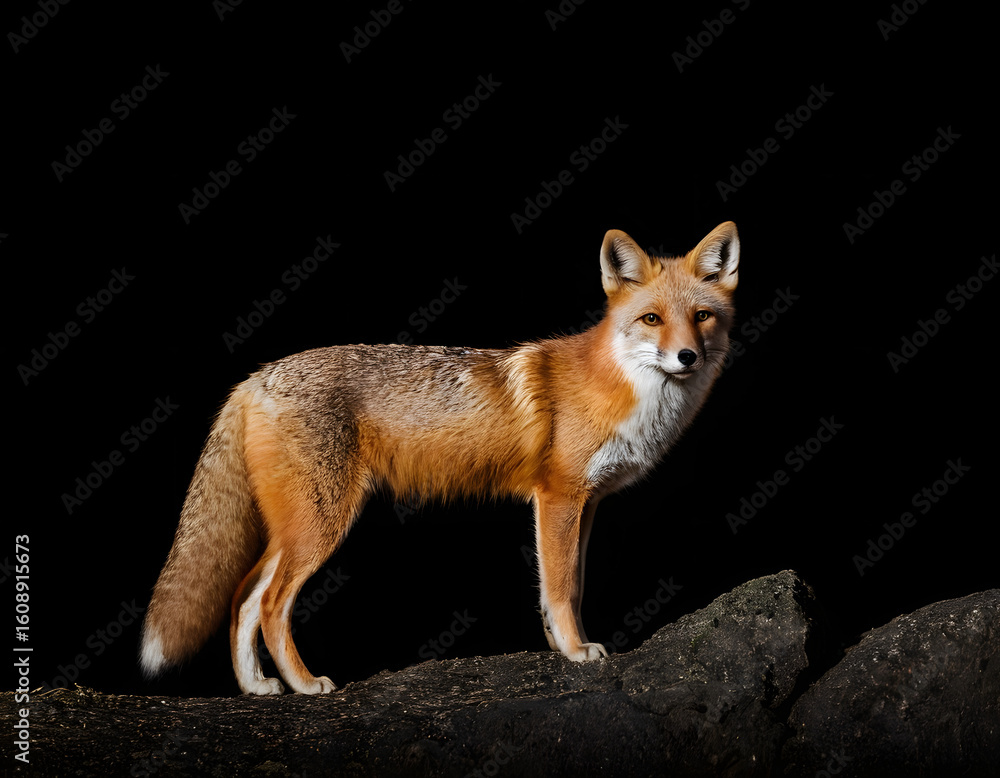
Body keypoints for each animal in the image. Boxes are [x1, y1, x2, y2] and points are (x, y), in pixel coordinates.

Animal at [139, 221, 740, 694]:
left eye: (702, 316)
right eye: (652, 319)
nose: (687, 356)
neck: (620, 388)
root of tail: (254, 376)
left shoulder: (584, 504)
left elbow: (565, 587)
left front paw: (559, 646)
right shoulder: (557, 497)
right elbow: (560, 587)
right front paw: (574, 652)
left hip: (294, 528)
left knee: (242, 598)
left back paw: (257, 688)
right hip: (321, 526)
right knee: (267, 605)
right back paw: (305, 684)